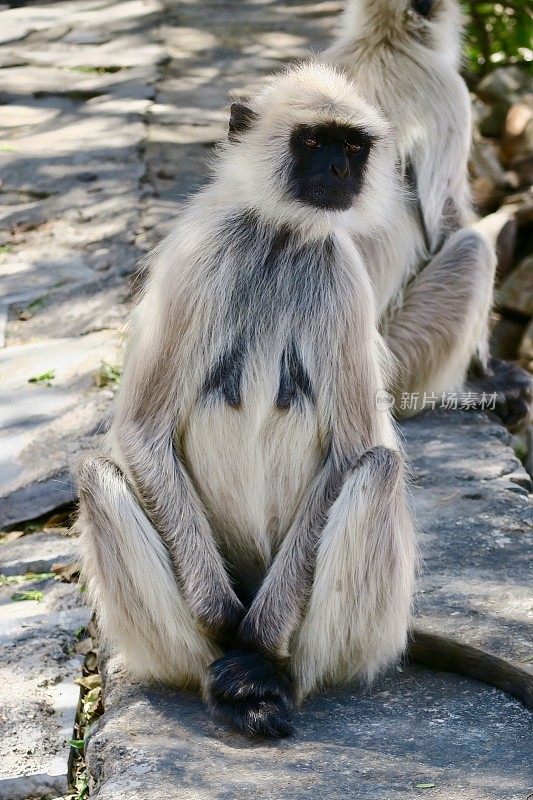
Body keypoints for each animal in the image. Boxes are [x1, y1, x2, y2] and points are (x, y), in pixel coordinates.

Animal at [322, 0, 528, 424]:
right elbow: (447, 220)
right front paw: (485, 368)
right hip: (402, 357)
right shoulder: (449, 92)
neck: (382, 40)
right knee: (473, 246)